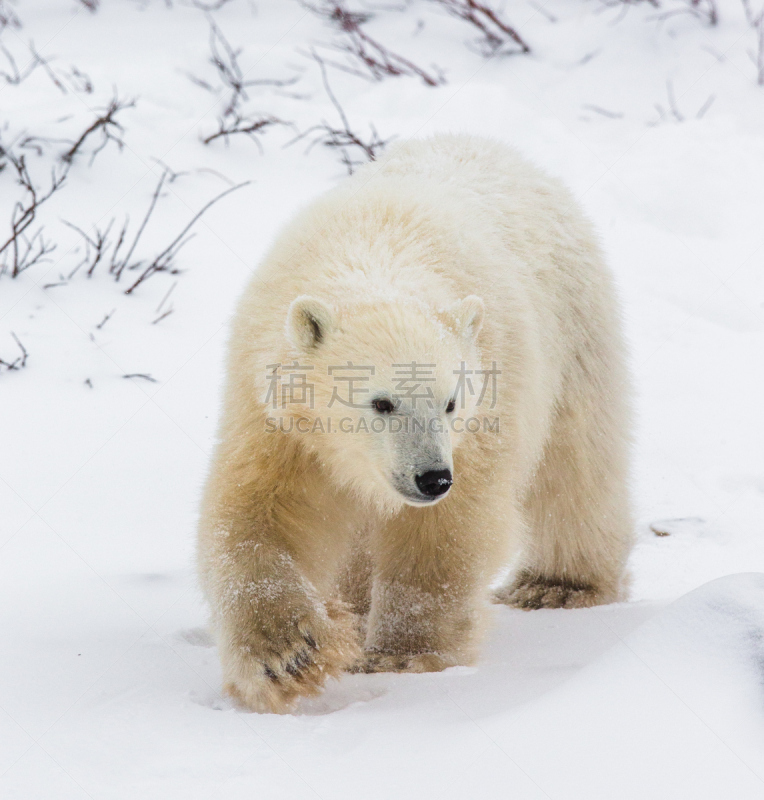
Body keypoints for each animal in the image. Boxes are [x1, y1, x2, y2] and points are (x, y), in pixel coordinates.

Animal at [197, 136, 632, 712]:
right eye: (381, 403)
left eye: (450, 402)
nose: (432, 478)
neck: (377, 253)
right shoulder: (278, 419)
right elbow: (260, 514)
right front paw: (287, 655)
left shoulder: (486, 408)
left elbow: (445, 533)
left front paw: (403, 654)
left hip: (575, 329)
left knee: (576, 465)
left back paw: (557, 584)